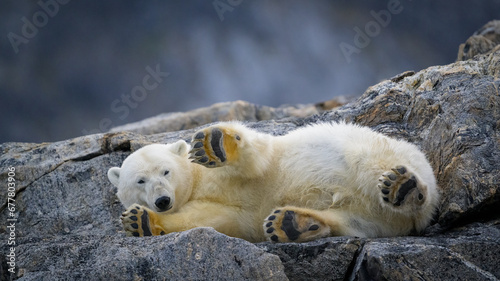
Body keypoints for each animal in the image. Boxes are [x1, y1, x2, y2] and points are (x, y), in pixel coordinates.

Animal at [108, 121, 438, 242]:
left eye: (165, 171)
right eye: (140, 181)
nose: (162, 200)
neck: (197, 181)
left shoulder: (261, 165)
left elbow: (254, 158)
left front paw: (215, 144)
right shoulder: (217, 206)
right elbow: (206, 219)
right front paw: (141, 221)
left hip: (373, 153)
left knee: (369, 164)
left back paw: (405, 188)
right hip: (373, 219)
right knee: (348, 221)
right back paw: (292, 224)